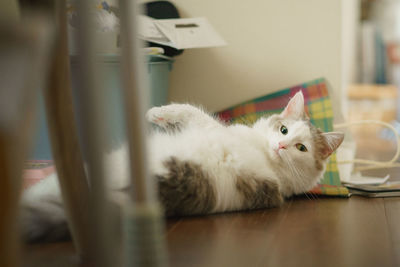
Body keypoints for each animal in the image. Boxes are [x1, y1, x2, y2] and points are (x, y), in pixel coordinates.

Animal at [19, 91, 344, 243]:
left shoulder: (213, 128)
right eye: (284, 130)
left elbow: (192, 111)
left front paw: (155, 113)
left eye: (301, 148)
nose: (281, 146)